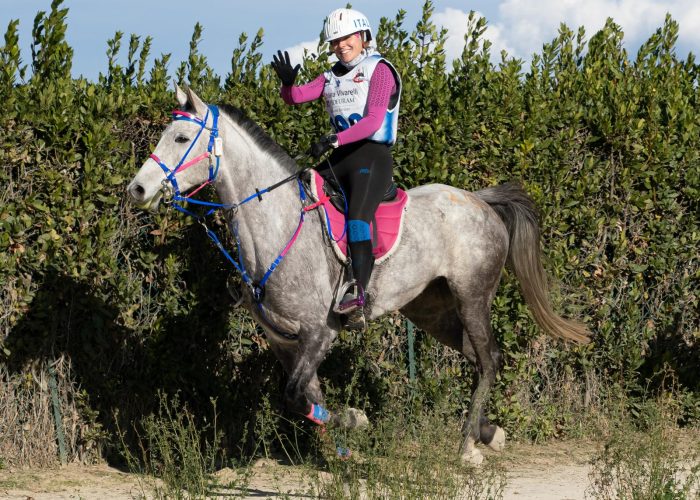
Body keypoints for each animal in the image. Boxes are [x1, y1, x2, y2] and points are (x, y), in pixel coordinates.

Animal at [127, 86, 592, 464]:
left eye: (181, 138)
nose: (138, 190)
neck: (276, 225)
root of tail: (479, 199)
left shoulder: (320, 332)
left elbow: (294, 395)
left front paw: (356, 420)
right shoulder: (284, 341)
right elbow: (305, 396)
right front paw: (344, 445)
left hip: (472, 296)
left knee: (490, 358)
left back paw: (467, 447)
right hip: (431, 309)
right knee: (478, 359)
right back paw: (489, 433)